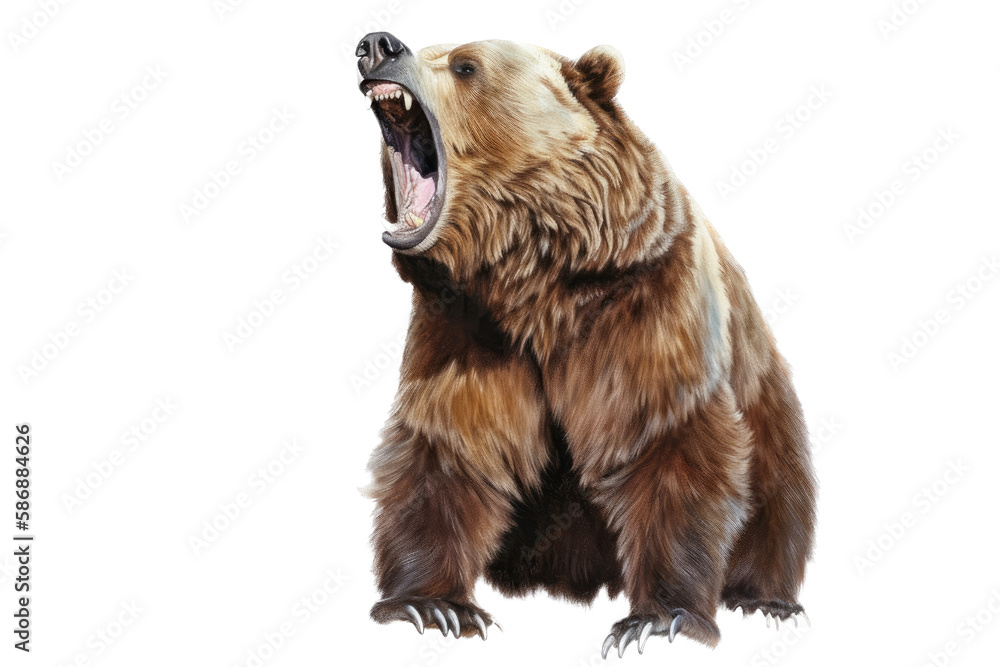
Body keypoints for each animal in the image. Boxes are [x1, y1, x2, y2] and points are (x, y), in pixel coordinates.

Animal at [355, 32, 817, 657]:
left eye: (465, 64)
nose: (377, 44)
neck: (532, 281)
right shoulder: (466, 334)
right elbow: (449, 446)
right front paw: (430, 605)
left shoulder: (642, 302)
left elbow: (666, 441)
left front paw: (658, 618)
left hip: (768, 407)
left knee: (779, 494)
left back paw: (766, 600)